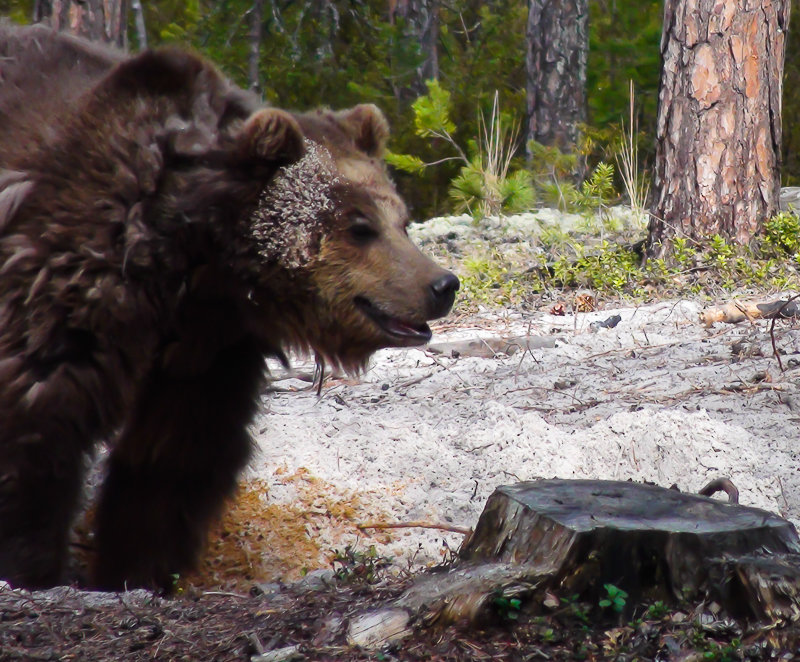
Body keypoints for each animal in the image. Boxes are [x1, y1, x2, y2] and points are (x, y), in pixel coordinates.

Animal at [0, 26, 456, 592]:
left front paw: (139, 569)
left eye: (402, 220)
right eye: (359, 226)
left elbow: (177, 451)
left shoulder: (208, 342)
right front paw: (31, 565)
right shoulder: (72, 269)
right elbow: (40, 410)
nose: (442, 284)